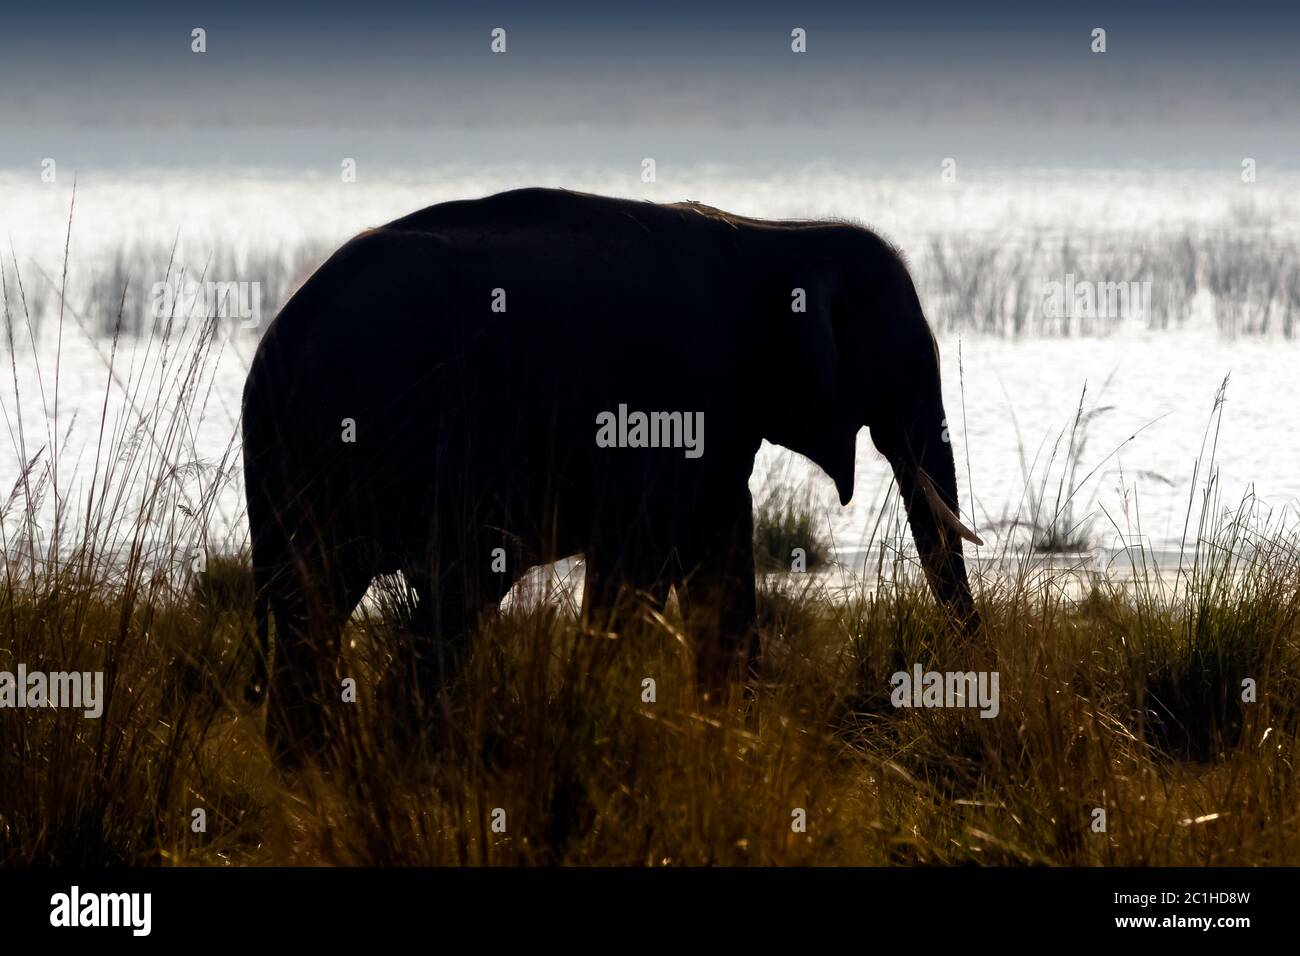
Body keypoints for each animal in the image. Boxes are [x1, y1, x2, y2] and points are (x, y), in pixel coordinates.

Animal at [241, 186, 982, 764]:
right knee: (398, 600)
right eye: (905, 358)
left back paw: (319, 758)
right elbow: (637, 567)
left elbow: (720, 565)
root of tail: (270, 351)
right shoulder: (666, 410)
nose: (972, 681)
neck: (778, 234)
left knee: (327, 607)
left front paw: (726, 745)